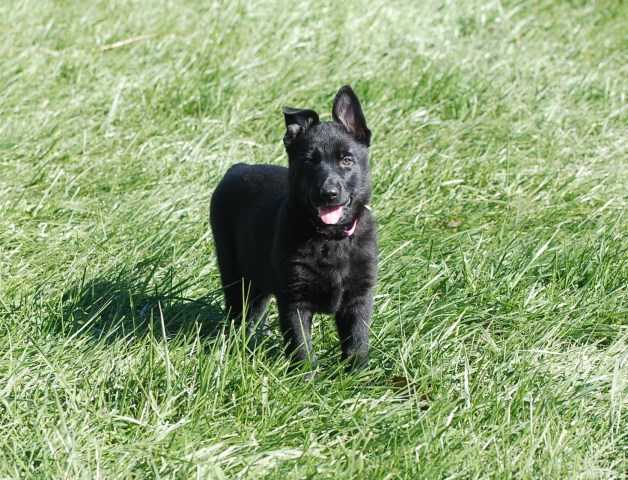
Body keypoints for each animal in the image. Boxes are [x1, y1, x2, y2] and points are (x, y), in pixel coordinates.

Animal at [211, 86, 378, 372]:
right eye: (310, 163)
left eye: (347, 160)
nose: (329, 194)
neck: (331, 238)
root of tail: (237, 167)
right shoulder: (293, 299)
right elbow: (302, 348)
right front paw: (305, 380)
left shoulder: (359, 297)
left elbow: (357, 342)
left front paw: (356, 377)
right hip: (235, 273)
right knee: (239, 314)